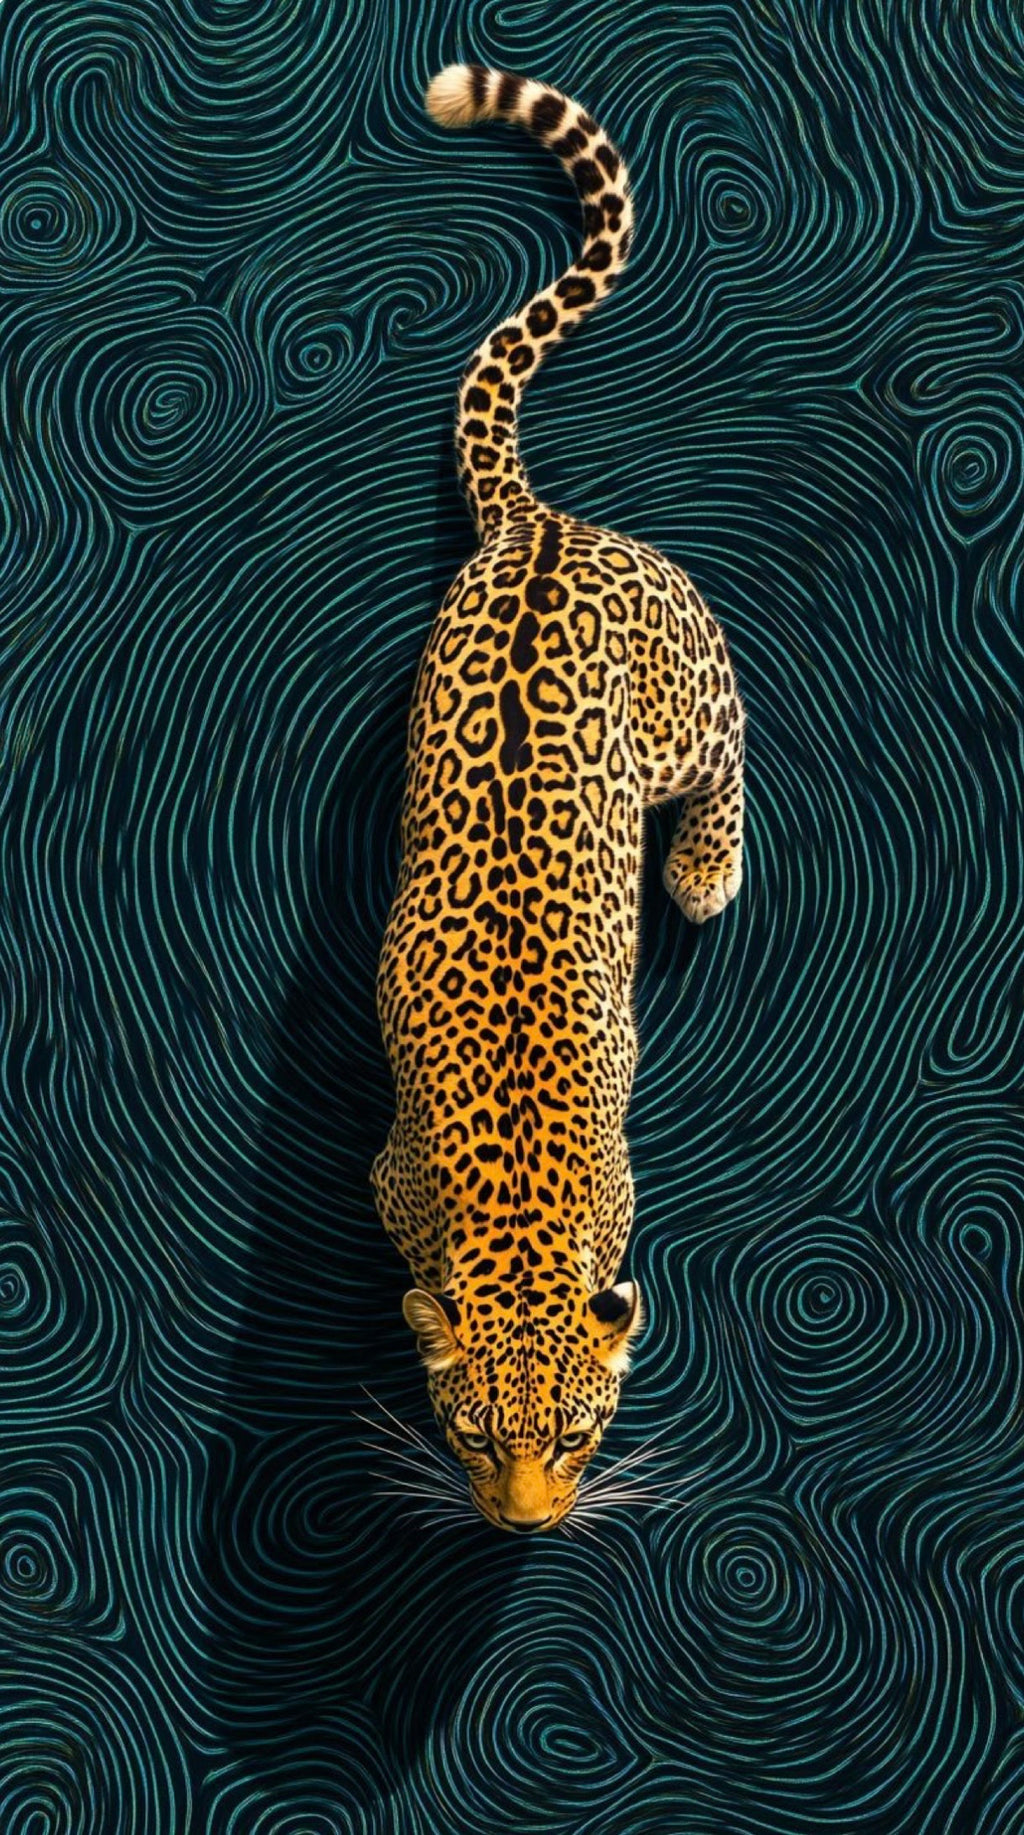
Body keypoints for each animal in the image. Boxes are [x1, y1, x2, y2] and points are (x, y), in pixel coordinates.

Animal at [370, 63, 746, 1534]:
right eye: (472, 1435)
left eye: (580, 1433)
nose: (523, 1525)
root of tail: (534, 526)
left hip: (682, 698)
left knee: (734, 728)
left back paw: (704, 871)